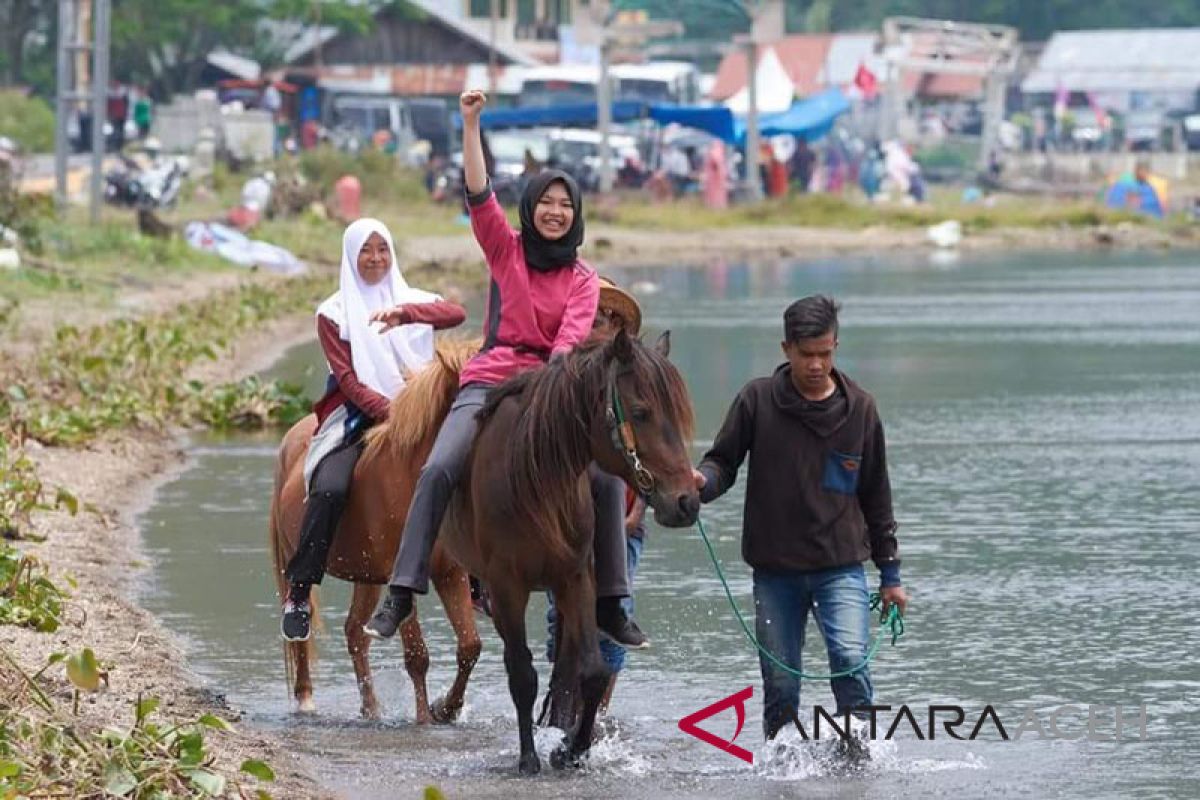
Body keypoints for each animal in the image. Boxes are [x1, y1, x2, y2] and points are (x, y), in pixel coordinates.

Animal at [270, 340, 480, 724]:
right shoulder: (402, 575)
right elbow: (417, 656)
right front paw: (424, 720)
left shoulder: (449, 572)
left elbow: (470, 646)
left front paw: (445, 709)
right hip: (292, 560)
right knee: (299, 626)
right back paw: (306, 701)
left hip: (365, 574)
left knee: (355, 632)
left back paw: (371, 710)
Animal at [436, 328, 700, 772]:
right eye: (641, 412)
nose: (686, 502)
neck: (535, 476)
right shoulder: (507, 586)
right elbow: (522, 674)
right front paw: (529, 758)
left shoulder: (574, 577)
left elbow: (591, 672)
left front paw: (570, 750)